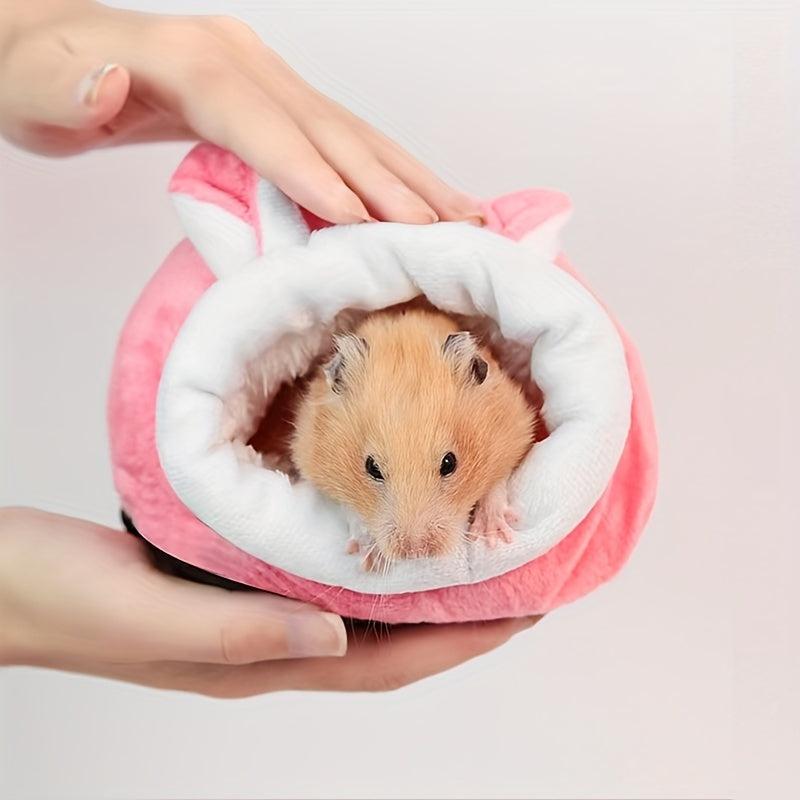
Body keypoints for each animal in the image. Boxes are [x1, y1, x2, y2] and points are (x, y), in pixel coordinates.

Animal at [290, 308, 538, 571]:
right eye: (372, 467)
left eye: (449, 463)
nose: (416, 553)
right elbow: (349, 509)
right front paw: (370, 561)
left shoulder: (513, 430)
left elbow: (496, 484)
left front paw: (494, 538)